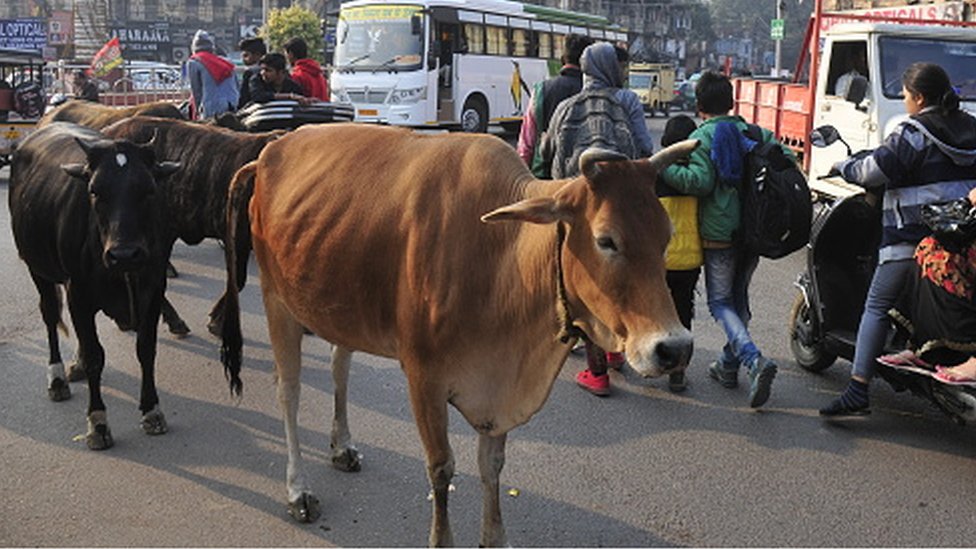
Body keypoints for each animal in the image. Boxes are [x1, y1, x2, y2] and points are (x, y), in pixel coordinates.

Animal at [9, 122, 179, 448]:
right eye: (95, 191)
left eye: (149, 190)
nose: (124, 254)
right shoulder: (79, 293)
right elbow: (95, 357)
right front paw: (98, 423)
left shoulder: (153, 290)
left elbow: (146, 350)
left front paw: (151, 410)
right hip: (38, 269)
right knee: (50, 316)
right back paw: (57, 378)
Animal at [221, 123, 692, 544]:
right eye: (606, 240)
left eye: (667, 236)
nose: (675, 347)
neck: (502, 258)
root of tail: (270, 151)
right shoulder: (424, 379)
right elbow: (441, 469)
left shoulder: (497, 388)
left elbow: (492, 466)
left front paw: (494, 538)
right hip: (277, 299)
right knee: (289, 391)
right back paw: (298, 490)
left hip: (338, 301)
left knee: (340, 368)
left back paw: (342, 446)